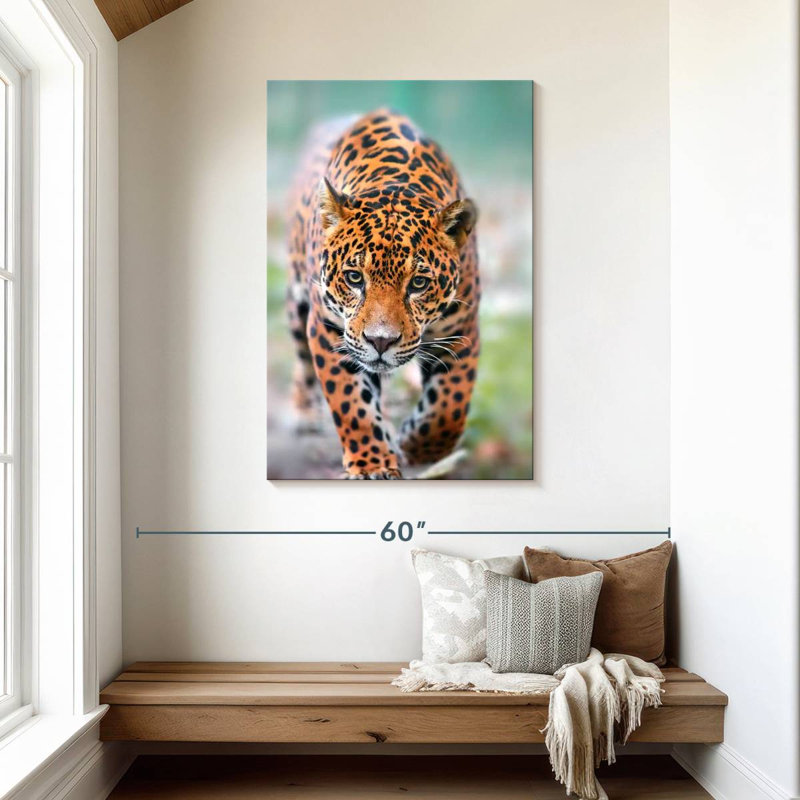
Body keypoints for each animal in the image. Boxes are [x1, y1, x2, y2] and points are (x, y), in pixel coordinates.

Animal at [284, 109, 480, 479]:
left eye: (418, 284)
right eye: (354, 278)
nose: (381, 341)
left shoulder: (461, 332)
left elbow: (449, 407)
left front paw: (416, 447)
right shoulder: (329, 330)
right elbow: (351, 404)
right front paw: (372, 464)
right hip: (296, 301)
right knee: (301, 358)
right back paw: (303, 413)